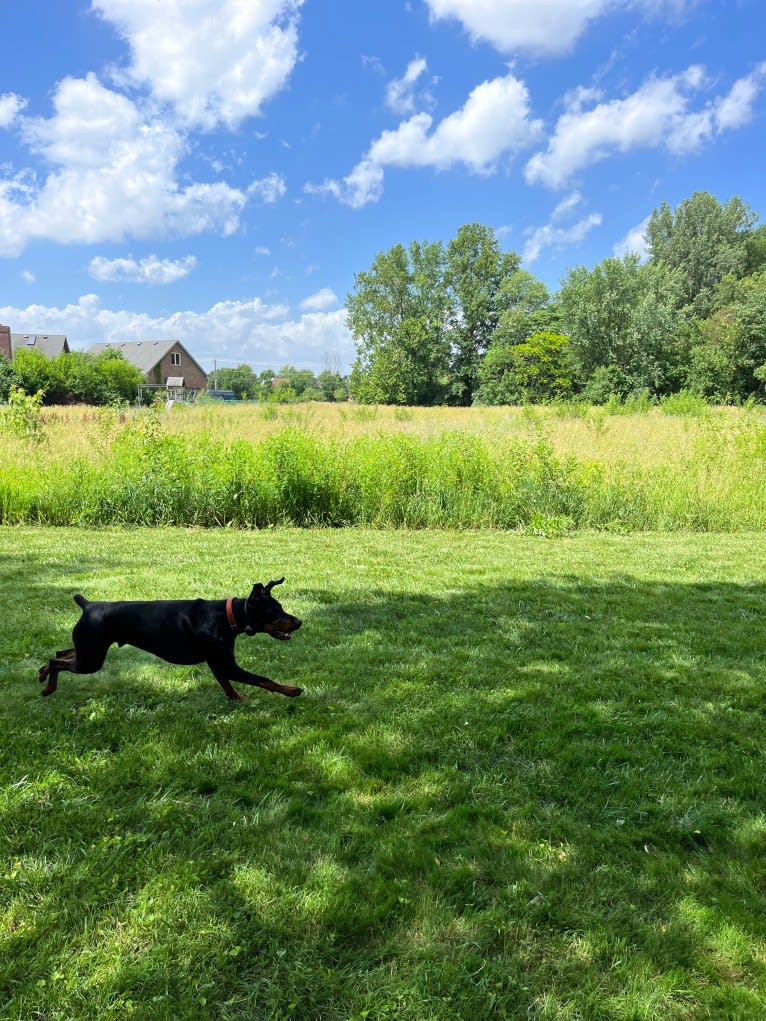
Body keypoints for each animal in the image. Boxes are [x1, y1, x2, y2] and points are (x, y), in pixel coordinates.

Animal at [39, 579, 302, 706]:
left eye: (281, 607)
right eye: (275, 612)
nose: (299, 621)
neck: (229, 616)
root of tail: (88, 605)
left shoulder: (217, 662)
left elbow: (227, 686)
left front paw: (239, 700)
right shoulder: (226, 664)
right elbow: (263, 679)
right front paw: (292, 690)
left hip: (89, 651)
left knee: (60, 652)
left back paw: (42, 674)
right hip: (91, 659)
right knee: (56, 660)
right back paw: (47, 687)